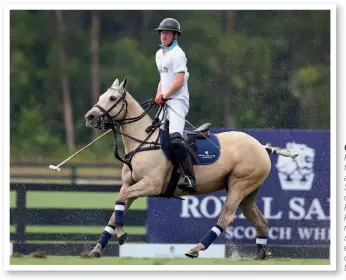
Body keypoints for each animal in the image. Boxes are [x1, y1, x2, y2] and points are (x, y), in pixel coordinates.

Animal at [84, 76, 298, 258]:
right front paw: (97, 249)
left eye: (112, 98)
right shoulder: (131, 184)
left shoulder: (151, 184)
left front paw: (120, 235)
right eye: (101, 96)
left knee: (225, 218)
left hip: (240, 185)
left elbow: (119, 200)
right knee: (261, 222)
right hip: (248, 194)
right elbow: (116, 210)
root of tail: (262, 147)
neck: (143, 141)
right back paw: (261, 255)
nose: (90, 117)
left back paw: (196, 248)